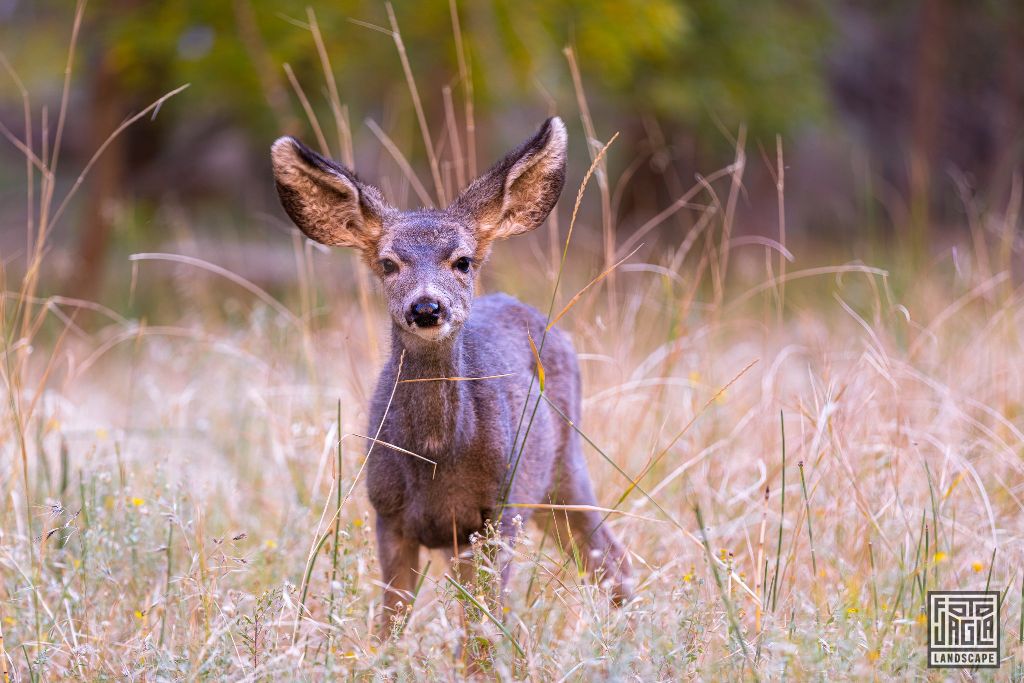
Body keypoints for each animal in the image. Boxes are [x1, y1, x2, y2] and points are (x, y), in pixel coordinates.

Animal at [270, 117, 633, 628]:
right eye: (388, 263)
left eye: (462, 261)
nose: (426, 307)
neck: (436, 457)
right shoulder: (388, 514)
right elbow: (391, 624)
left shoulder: (495, 513)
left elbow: (482, 628)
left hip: (563, 468)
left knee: (611, 558)